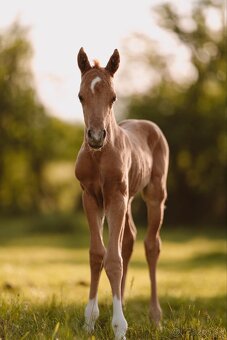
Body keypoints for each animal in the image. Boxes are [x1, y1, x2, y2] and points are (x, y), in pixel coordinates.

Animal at [75, 48, 168, 340]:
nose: (95, 136)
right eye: (81, 96)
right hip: (128, 199)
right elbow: (97, 254)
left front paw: (119, 327)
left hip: (154, 195)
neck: (99, 156)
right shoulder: (91, 197)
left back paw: (155, 317)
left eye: (113, 97)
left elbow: (113, 260)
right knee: (129, 240)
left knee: (151, 245)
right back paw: (124, 303)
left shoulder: (115, 197)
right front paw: (90, 321)